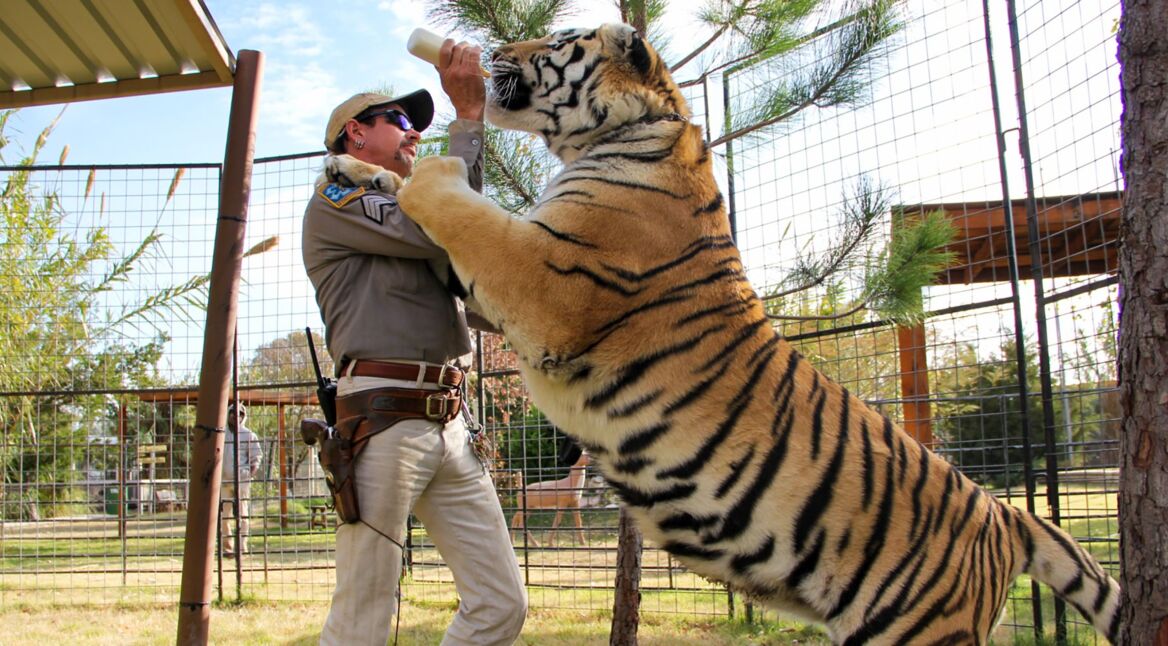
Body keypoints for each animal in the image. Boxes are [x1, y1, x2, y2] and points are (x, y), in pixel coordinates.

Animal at [329, 22, 1121, 644]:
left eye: (554, 42)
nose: (491, 51)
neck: (622, 134)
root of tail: (1004, 515)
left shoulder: (543, 279)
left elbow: (453, 200)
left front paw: (421, 166)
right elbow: (412, 200)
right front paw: (349, 164)